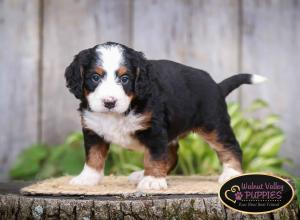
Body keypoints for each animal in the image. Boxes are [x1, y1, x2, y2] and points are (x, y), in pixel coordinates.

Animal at [64, 42, 266, 190]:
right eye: (95, 77)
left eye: (125, 78)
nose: (109, 102)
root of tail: (216, 85)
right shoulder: (93, 129)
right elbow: (93, 156)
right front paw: (87, 178)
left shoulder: (154, 130)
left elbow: (154, 156)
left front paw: (153, 180)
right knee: (171, 156)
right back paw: (141, 174)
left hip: (213, 125)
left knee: (230, 146)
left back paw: (231, 173)